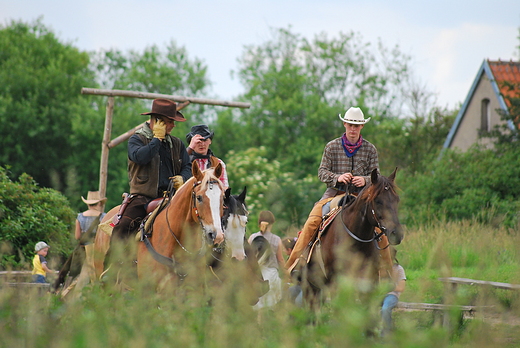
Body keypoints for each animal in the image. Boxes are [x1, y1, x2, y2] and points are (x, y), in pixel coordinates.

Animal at [300, 169, 402, 310]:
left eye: (397, 199)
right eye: (377, 200)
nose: (396, 233)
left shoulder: (368, 284)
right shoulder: (338, 283)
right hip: (311, 287)